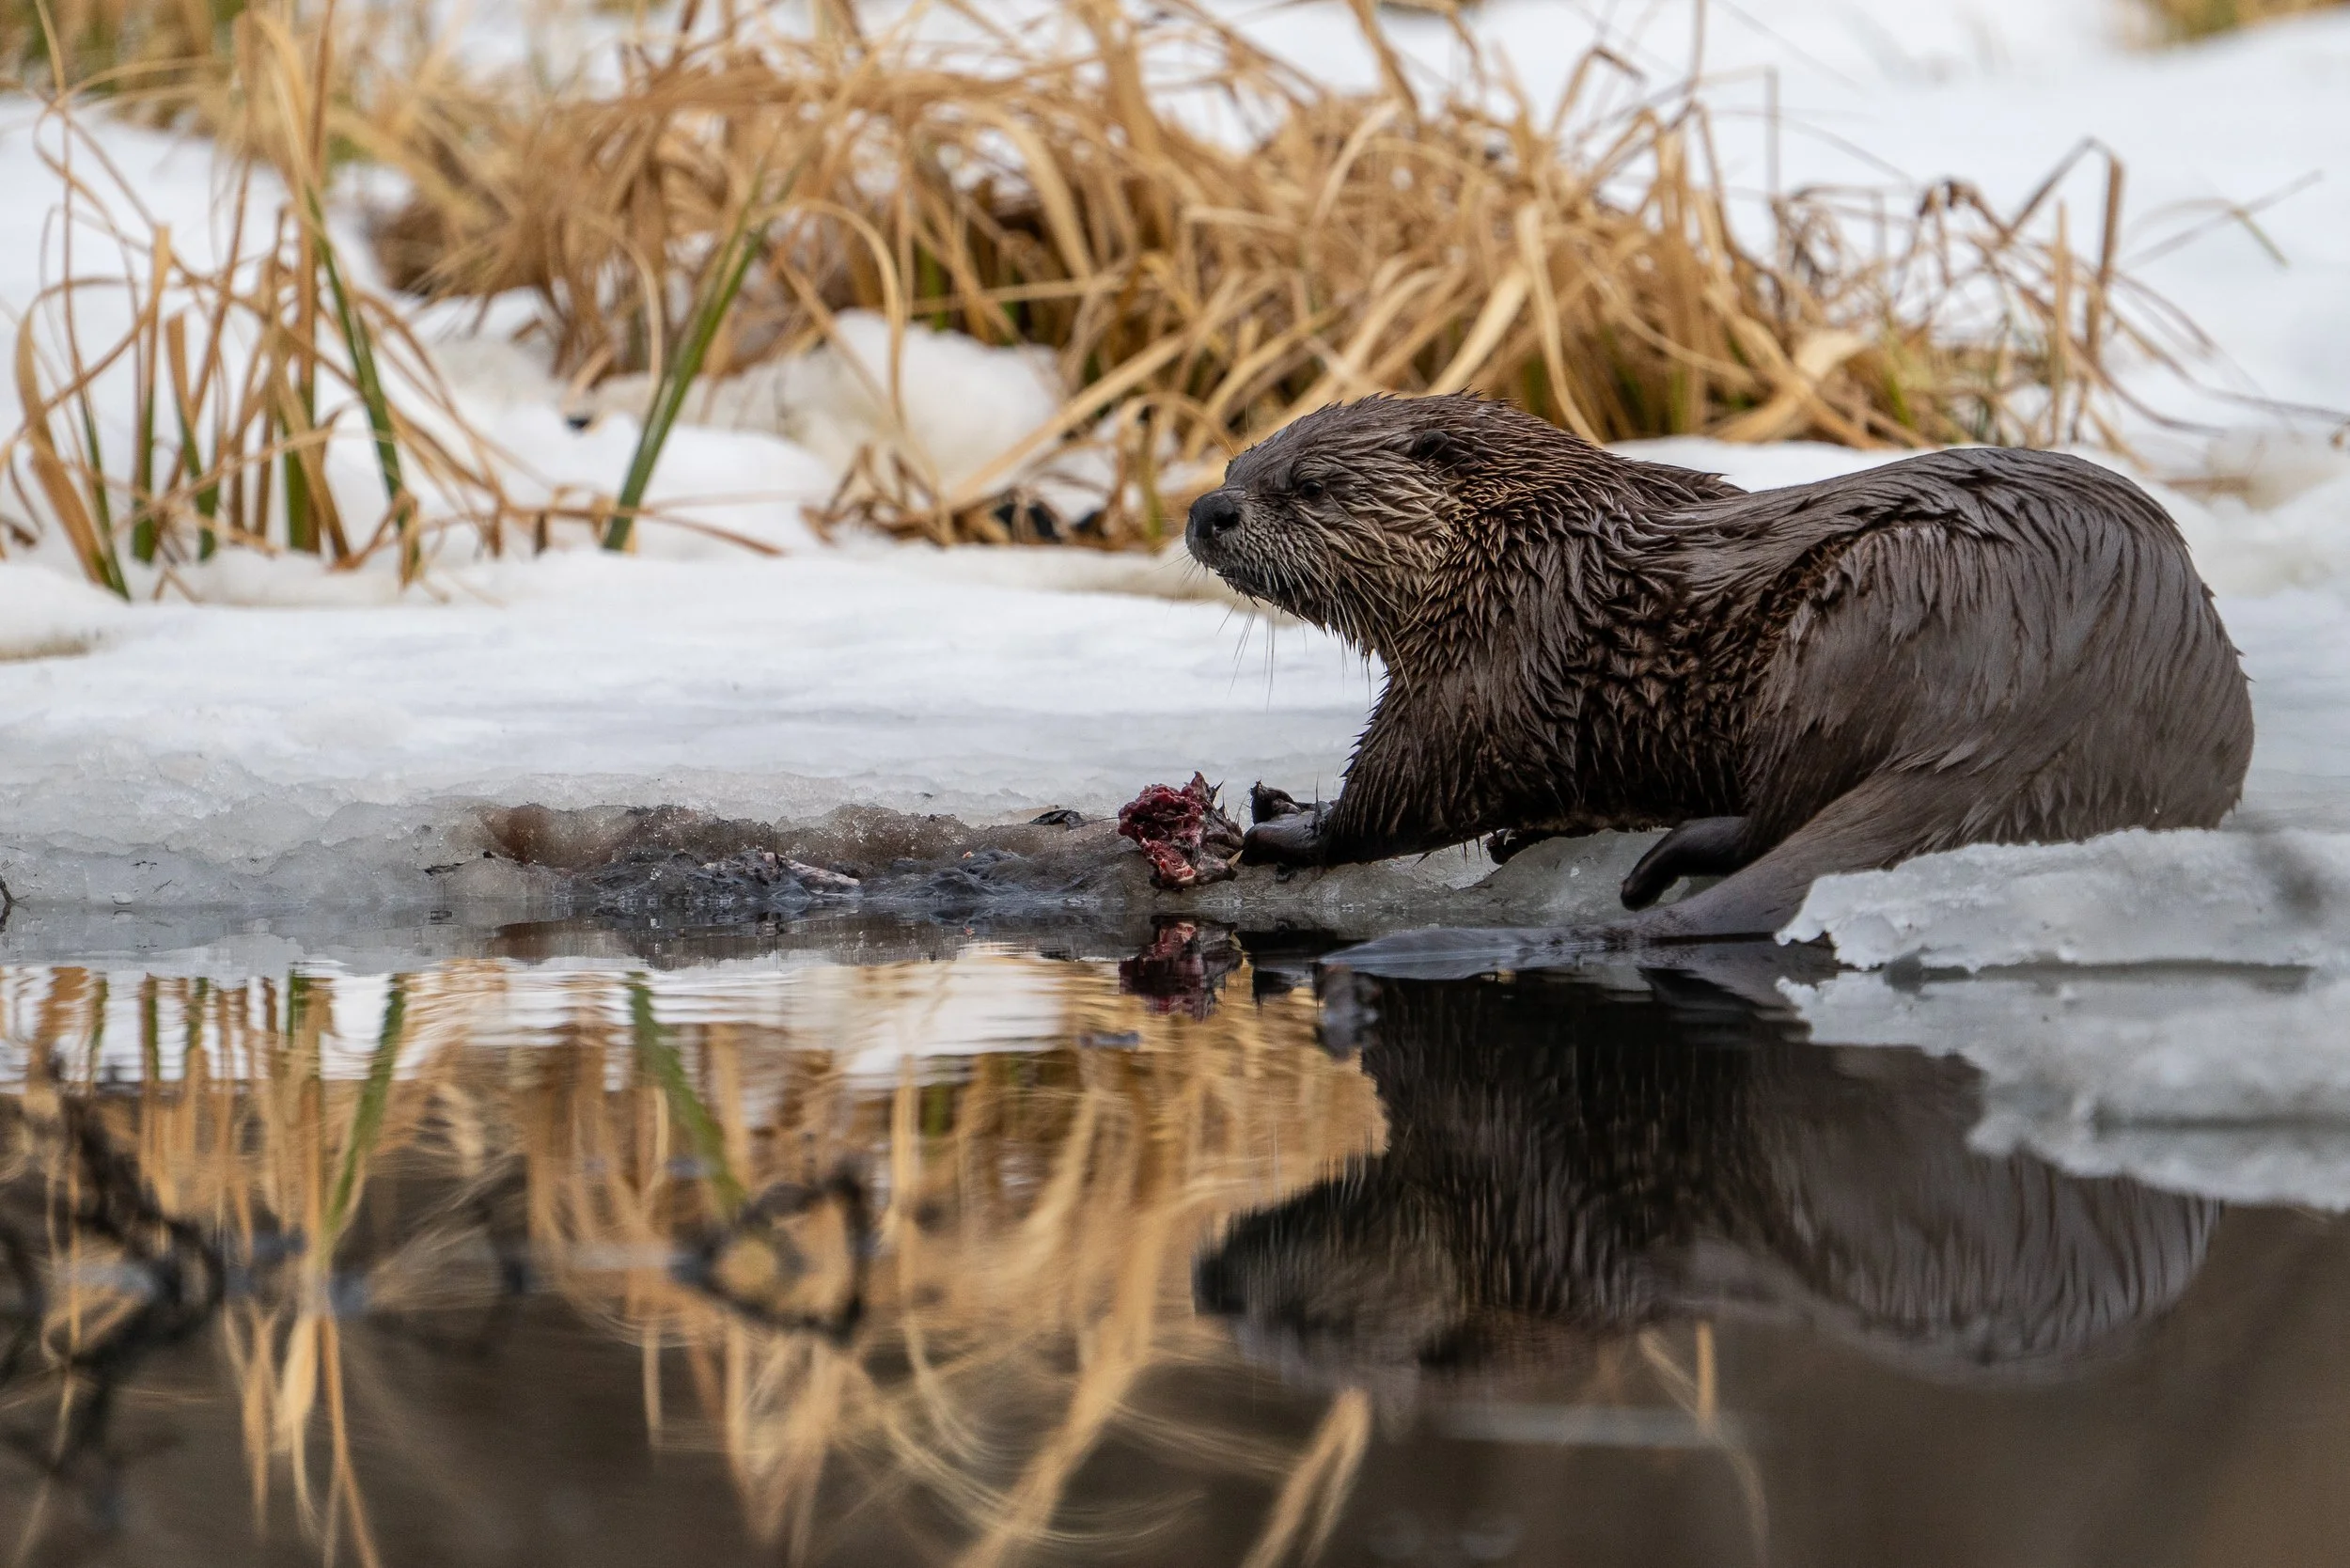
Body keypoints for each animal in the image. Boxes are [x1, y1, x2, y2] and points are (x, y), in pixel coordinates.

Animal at [1185, 395, 2255, 939]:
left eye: (1307, 485)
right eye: (1238, 465)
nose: (1207, 510)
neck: (1519, 543)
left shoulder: (1493, 656)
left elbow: (1419, 782)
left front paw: (1289, 823)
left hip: (1855, 621)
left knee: (1781, 808)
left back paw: (1671, 858)